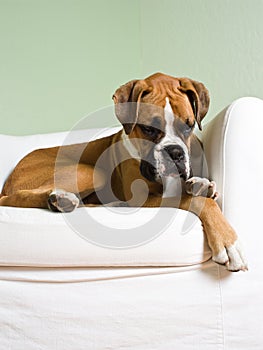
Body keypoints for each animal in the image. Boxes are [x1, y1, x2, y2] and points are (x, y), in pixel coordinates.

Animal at [0, 72, 248, 272]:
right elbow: (197, 201)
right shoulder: (145, 199)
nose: (175, 152)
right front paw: (228, 243)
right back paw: (61, 199)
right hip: (90, 172)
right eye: (148, 129)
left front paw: (203, 185)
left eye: (188, 125)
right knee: (16, 197)